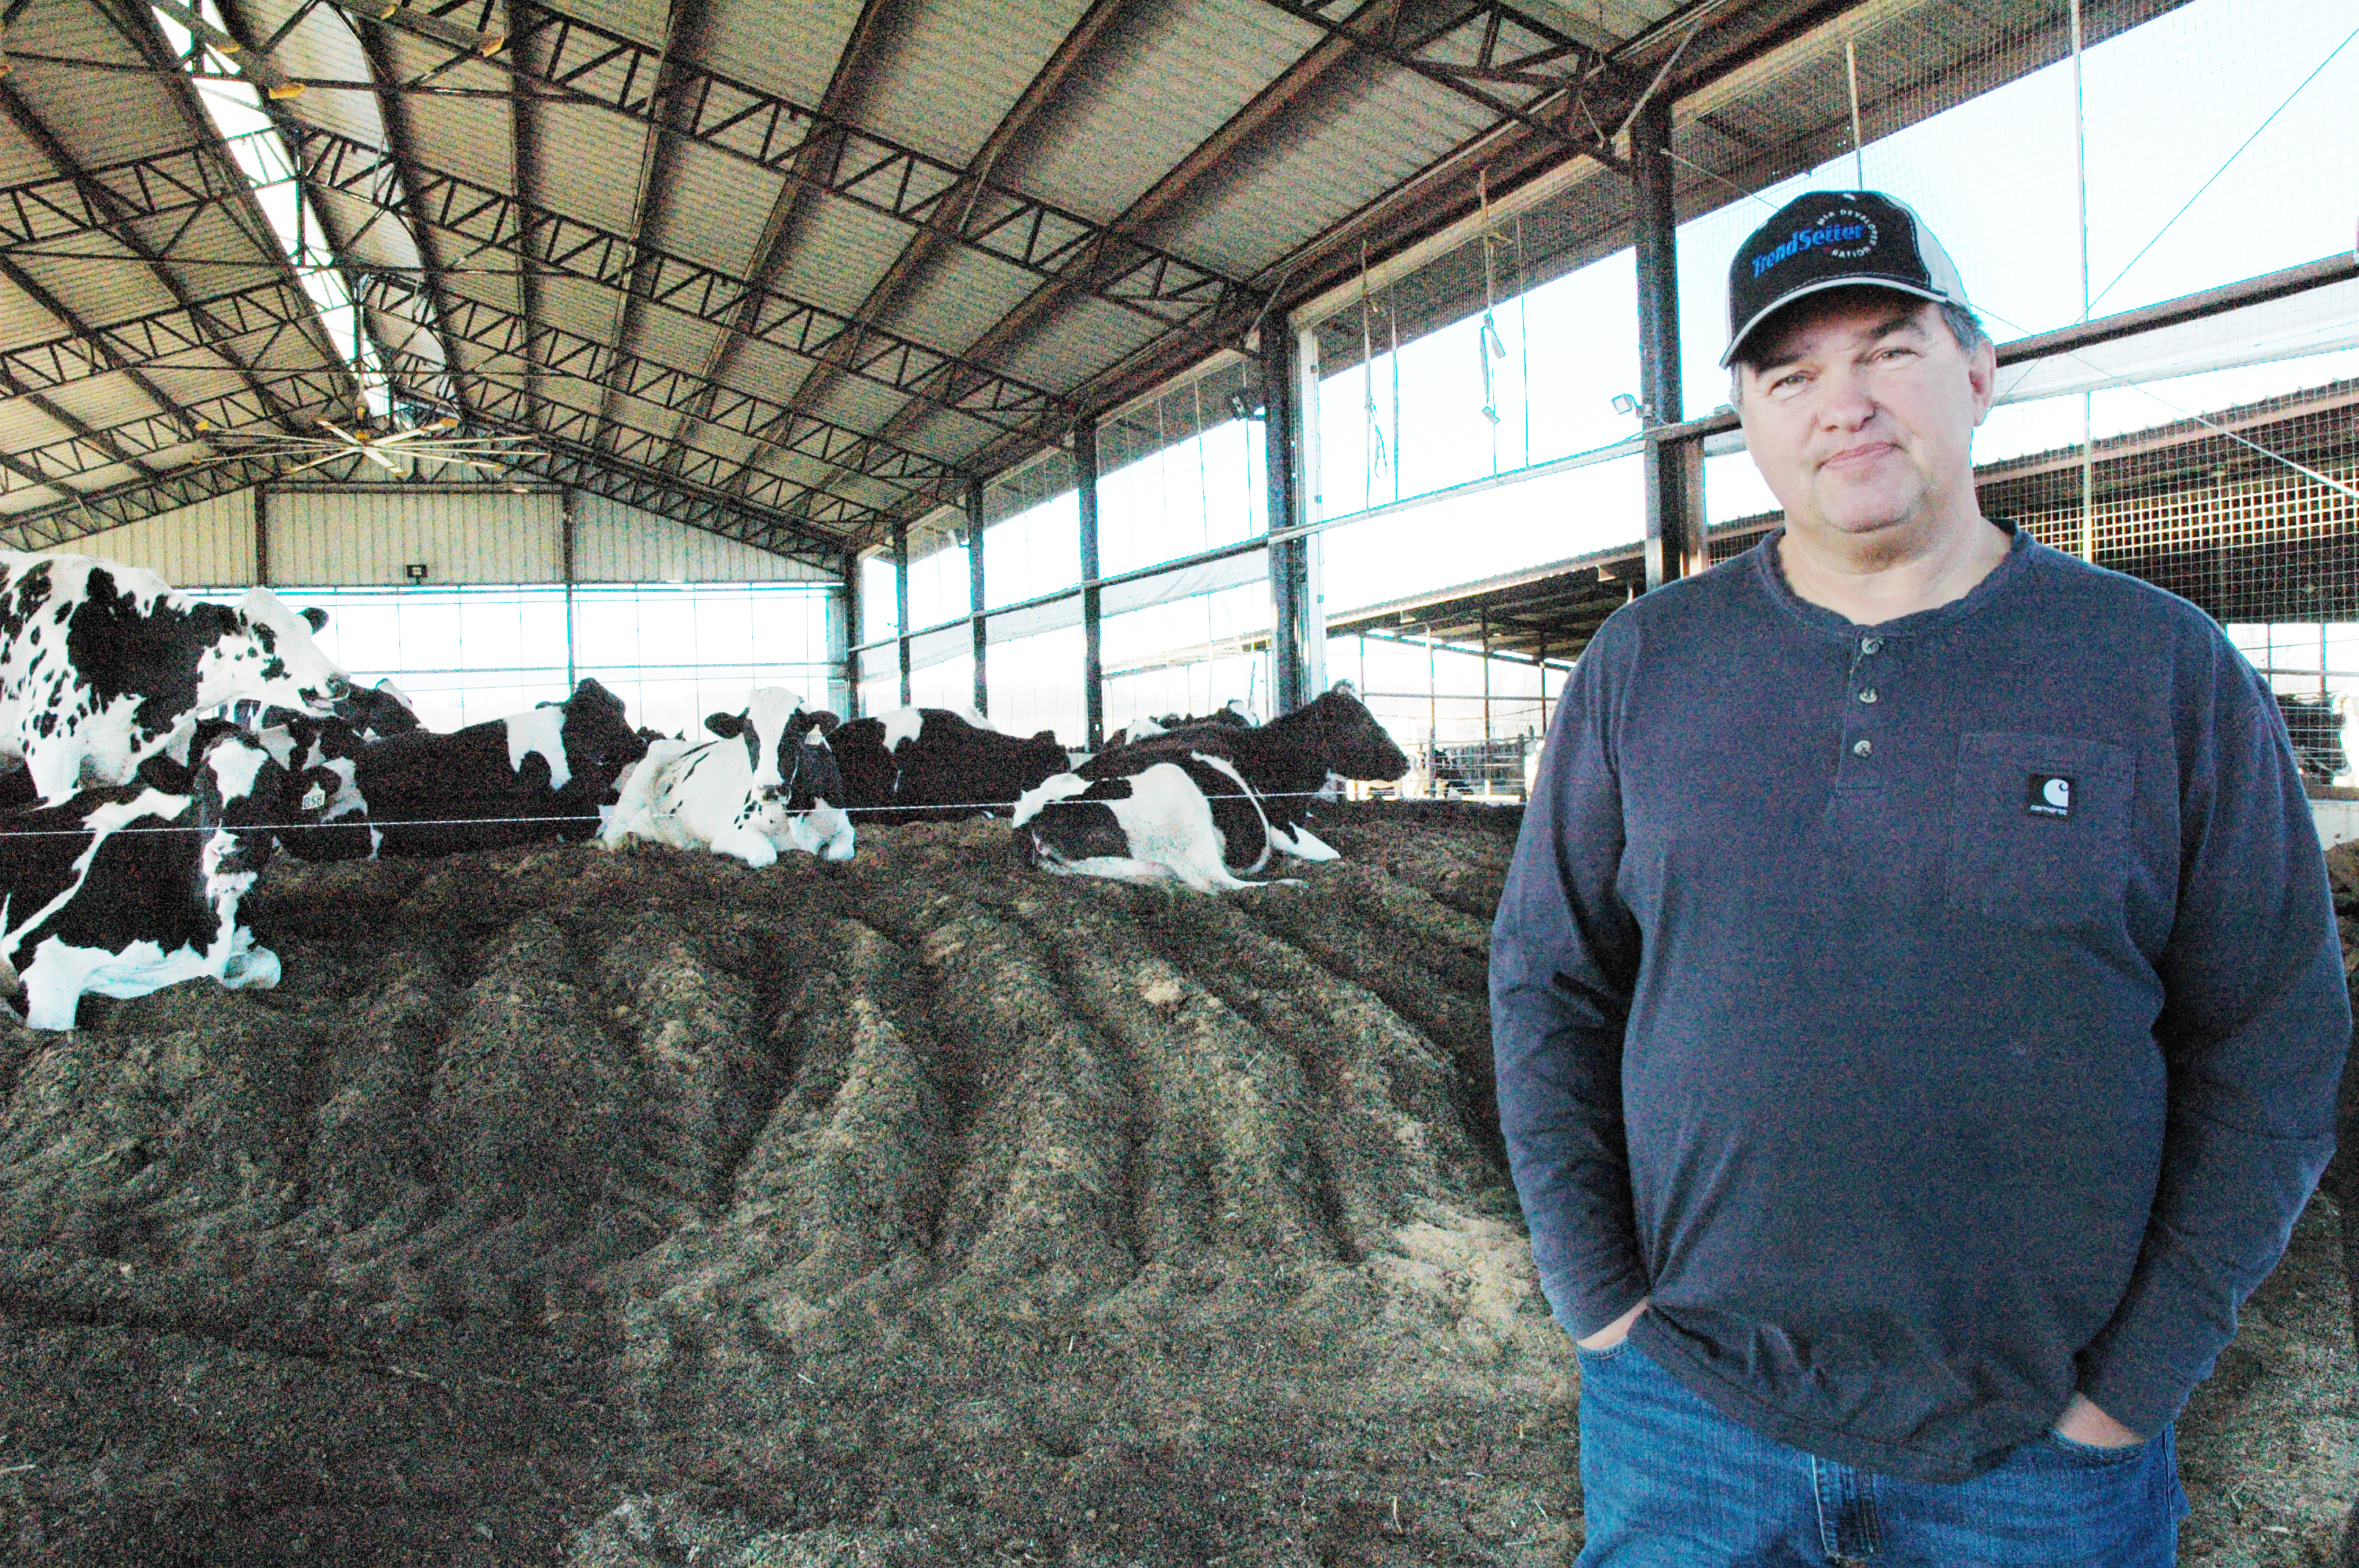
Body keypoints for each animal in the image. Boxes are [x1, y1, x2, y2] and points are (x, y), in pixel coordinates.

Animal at [604, 684, 853, 862]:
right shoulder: (732, 832)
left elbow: (839, 853)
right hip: (639, 780)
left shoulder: (844, 826)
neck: (795, 812)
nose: (770, 789)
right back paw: (627, 841)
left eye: (795, 733)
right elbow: (765, 855)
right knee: (609, 836)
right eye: (748, 734)